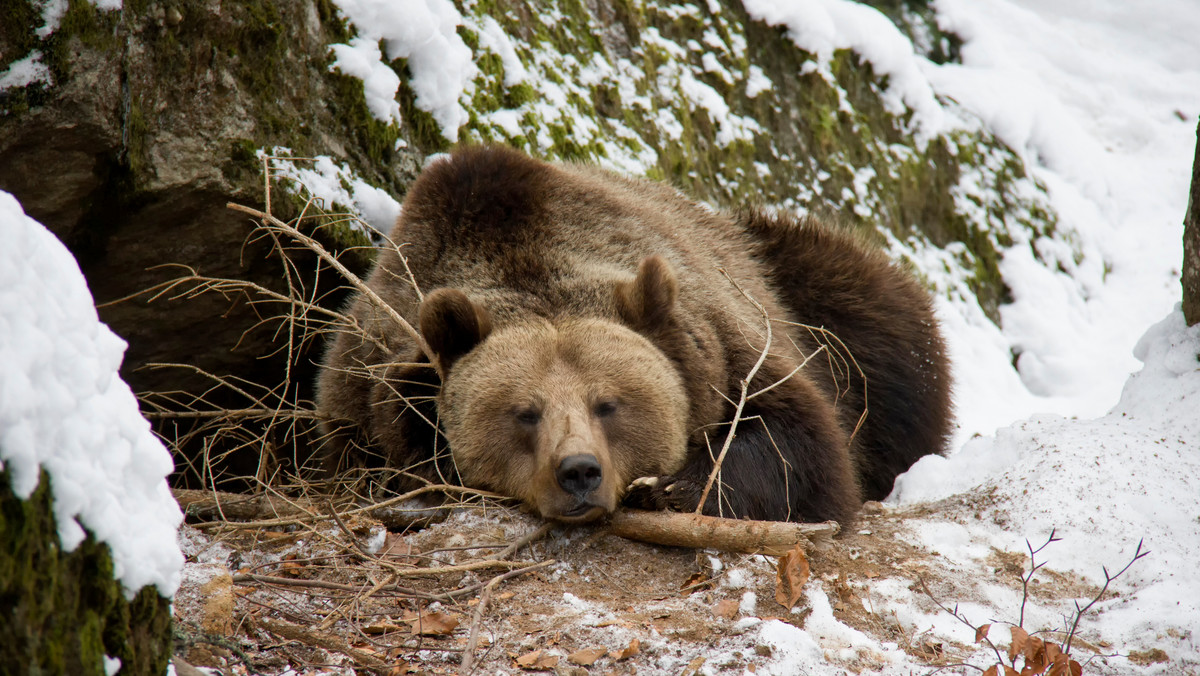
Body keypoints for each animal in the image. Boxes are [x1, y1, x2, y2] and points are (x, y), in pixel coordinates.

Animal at [314, 145, 950, 525]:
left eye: (609, 404)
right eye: (525, 412)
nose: (578, 471)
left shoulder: (729, 344)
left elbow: (798, 445)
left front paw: (669, 487)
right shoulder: (363, 386)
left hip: (813, 293)